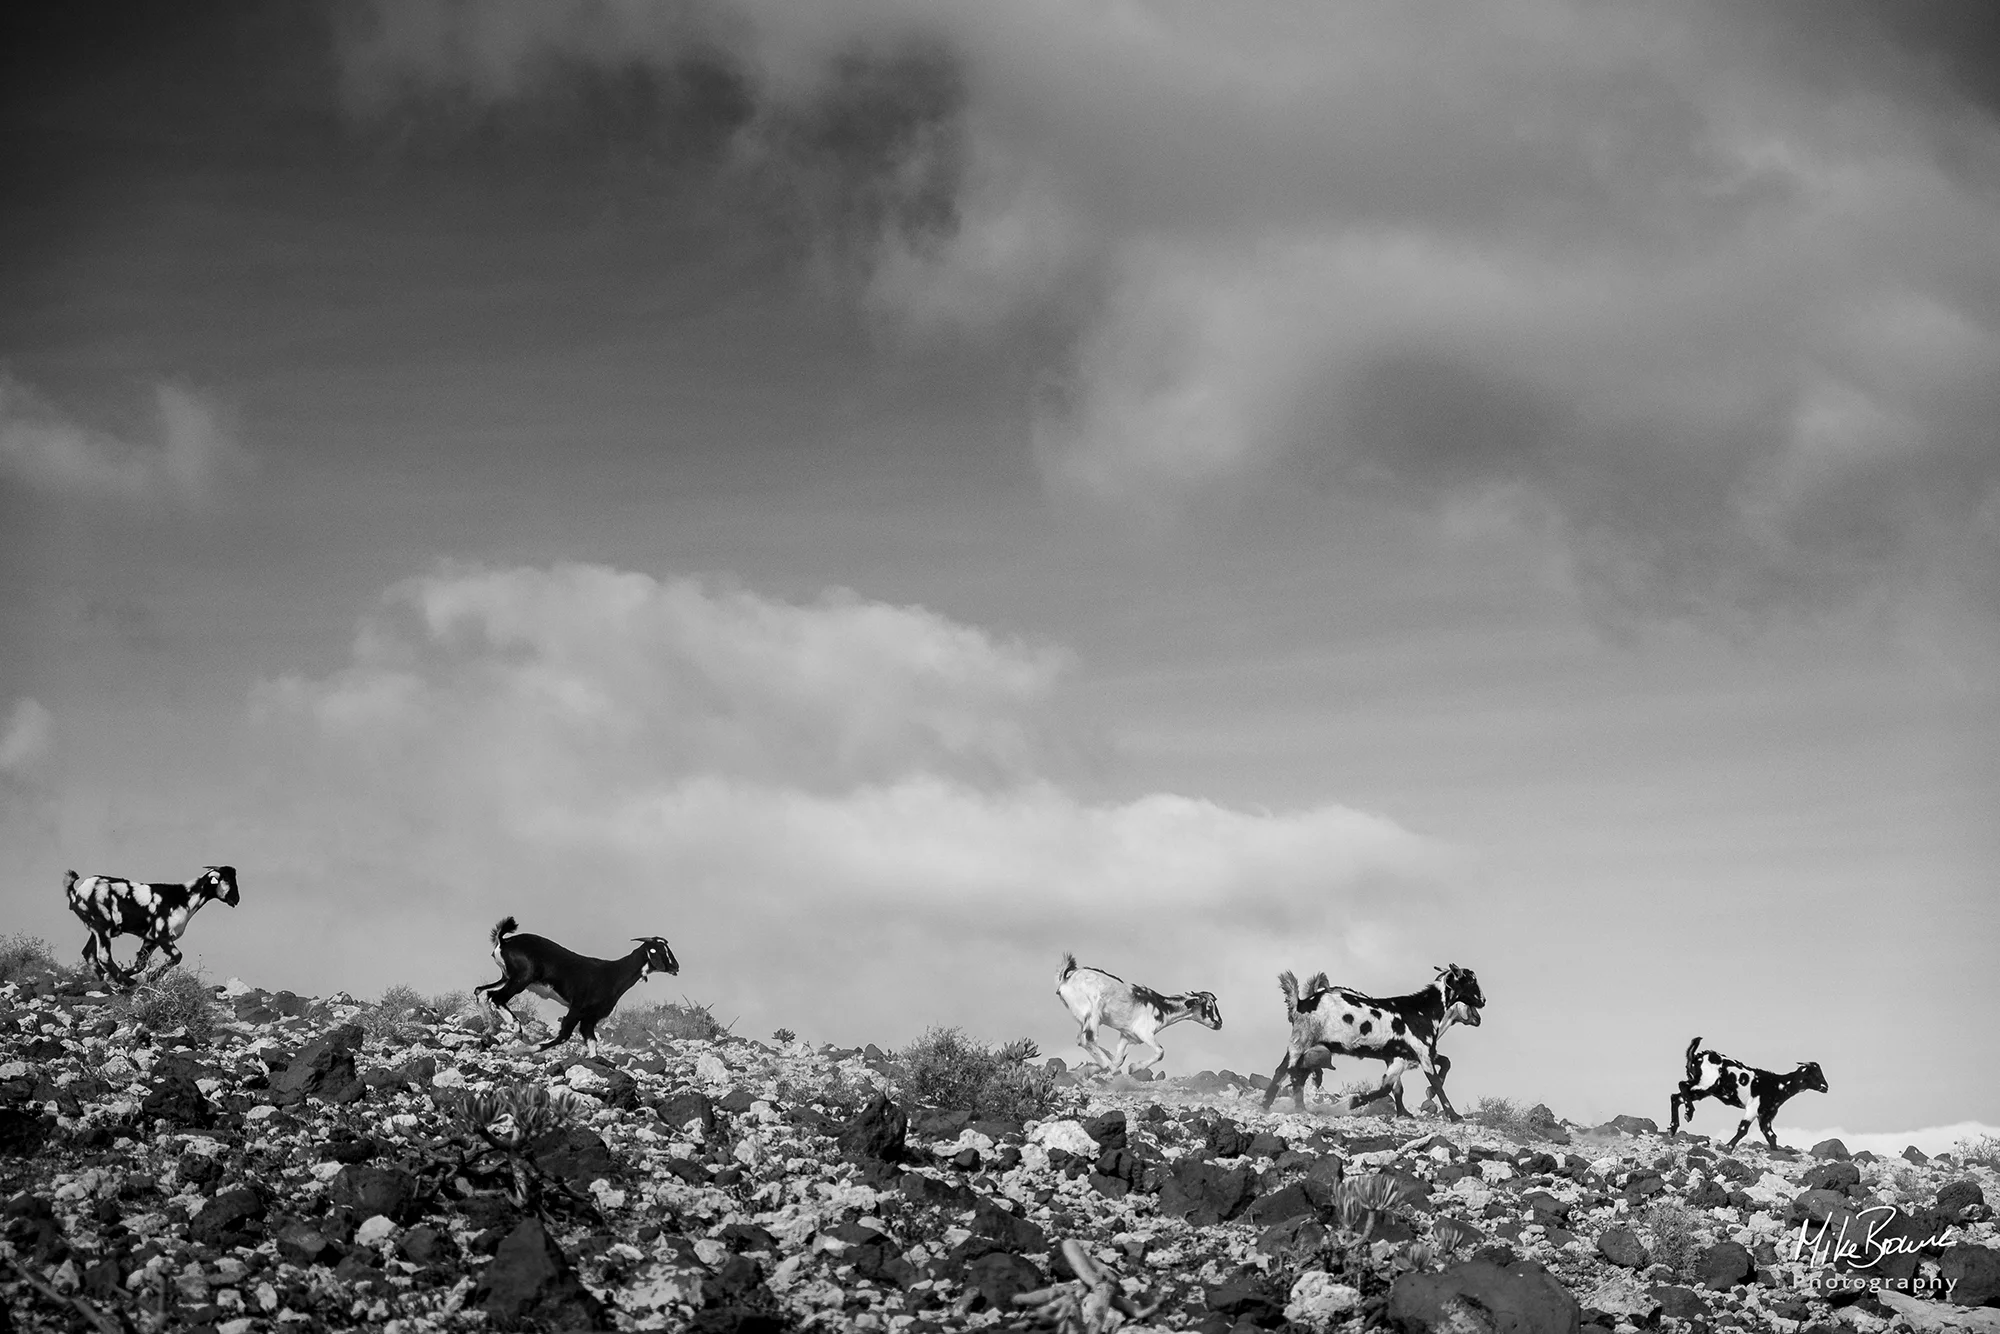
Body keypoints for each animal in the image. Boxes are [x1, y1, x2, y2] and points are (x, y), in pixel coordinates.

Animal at [62, 868, 240, 992]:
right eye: (227, 879)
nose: (236, 899)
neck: (184, 898)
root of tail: (76, 893)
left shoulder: (150, 939)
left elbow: (140, 964)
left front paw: (138, 976)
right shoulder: (162, 935)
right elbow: (177, 956)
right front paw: (151, 977)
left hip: (97, 929)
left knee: (88, 953)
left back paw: (107, 980)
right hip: (102, 926)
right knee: (103, 956)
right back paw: (128, 983)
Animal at [474, 912, 680, 1056]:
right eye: (659, 951)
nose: (676, 967)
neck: (613, 974)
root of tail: (503, 941)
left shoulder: (590, 1017)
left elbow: (592, 1041)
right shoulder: (578, 1008)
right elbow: (563, 1036)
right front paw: (519, 1050)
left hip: (507, 977)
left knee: (482, 992)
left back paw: (490, 1029)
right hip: (521, 978)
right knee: (497, 998)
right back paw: (517, 1029)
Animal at [1064, 956, 1216, 1080]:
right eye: (1209, 1007)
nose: (1218, 1023)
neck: (1162, 1007)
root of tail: (1067, 980)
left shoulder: (1127, 1035)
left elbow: (1119, 1058)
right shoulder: (1144, 1032)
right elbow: (1160, 1052)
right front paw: (1134, 1068)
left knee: (1081, 1039)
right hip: (1093, 1013)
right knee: (1087, 1039)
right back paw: (1108, 1066)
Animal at [1264, 964, 1488, 1120]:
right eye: (1471, 981)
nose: (1483, 1001)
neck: (1423, 1010)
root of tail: (1300, 1004)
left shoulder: (1399, 1057)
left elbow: (1393, 1087)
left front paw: (1403, 1113)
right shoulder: (1422, 1053)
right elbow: (1434, 1083)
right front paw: (1454, 1116)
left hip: (1308, 1045)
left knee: (1297, 1074)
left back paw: (1297, 1108)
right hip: (1301, 1040)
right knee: (1284, 1070)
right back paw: (1267, 1106)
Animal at [1664, 1040, 1824, 1152]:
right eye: (1815, 1075)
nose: (1825, 1087)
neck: (1778, 1085)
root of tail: (1697, 1056)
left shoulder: (1765, 1115)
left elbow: (1770, 1135)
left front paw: (1775, 1152)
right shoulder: (1753, 1108)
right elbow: (1743, 1129)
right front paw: (1728, 1148)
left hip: (1702, 1090)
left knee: (1676, 1097)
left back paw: (1673, 1128)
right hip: (1705, 1083)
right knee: (1682, 1085)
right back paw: (1688, 1113)